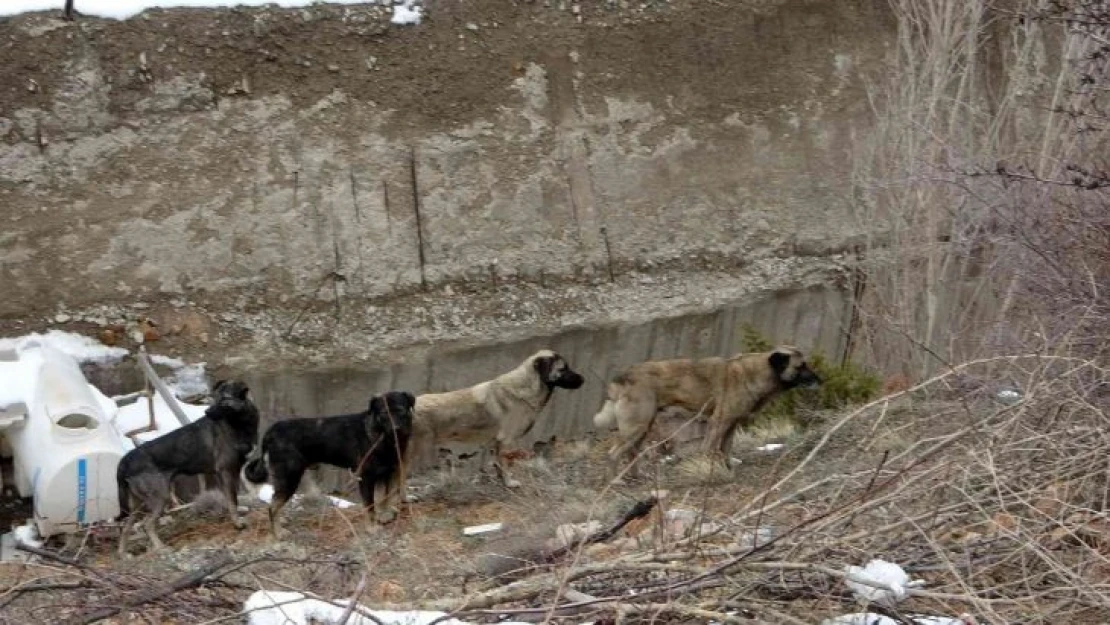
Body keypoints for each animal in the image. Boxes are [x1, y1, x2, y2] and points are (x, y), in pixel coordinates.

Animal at [116, 379, 259, 555]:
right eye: (214, 397)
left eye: (225, 399)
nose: (206, 412)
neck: (240, 423)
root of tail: (125, 460)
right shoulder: (226, 471)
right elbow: (233, 501)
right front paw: (238, 524)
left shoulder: (227, 473)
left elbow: (231, 498)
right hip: (160, 496)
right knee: (147, 524)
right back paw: (160, 547)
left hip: (137, 503)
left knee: (126, 527)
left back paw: (123, 554)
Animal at [243, 390, 417, 532]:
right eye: (383, 414)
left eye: (401, 411)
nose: (395, 429)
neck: (380, 436)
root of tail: (270, 432)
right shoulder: (366, 478)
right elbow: (370, 506)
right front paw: (371, 528)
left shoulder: (387, 473)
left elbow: (384, 498)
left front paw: (384, 515)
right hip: (290, 478)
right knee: (272, 507)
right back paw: (278, 533)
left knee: (275, 503)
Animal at [594, 346, 821, 479]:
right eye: (801, 366)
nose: (821, 380)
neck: (756, 373)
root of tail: (622, 377)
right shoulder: (719, 422)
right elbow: (711, 449)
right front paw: (711, 470)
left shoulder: (731, 425)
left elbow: (725, 449)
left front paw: (727, 467)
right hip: (636, 426)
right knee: (613, 454)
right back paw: (615, 481)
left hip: (643, 426)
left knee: (631, 452)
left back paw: (636, 477)